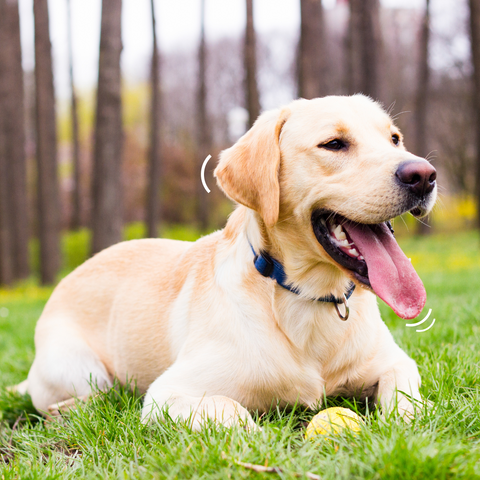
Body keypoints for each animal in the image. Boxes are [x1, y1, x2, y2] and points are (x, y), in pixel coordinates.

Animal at [18, 94, 436, 428]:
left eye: (394, 138)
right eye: (334, 144)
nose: (424, 175)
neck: (308, 297)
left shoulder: (394, 361)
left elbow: (405, 393)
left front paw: (416, 414)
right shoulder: (167, 394)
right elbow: (232, 411)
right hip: (80, 368)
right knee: (92, 395)